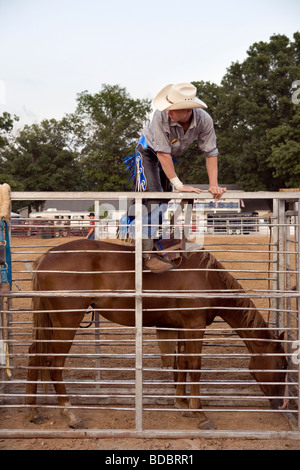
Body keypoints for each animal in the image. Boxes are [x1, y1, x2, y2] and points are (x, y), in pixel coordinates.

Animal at [24, 241, 288, 428]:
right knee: (54, 362)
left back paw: (34, 410)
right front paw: (200, 414)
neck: (207, 278)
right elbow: (195, 365)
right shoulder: (195, 326)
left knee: (34, 354)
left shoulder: (182, 327)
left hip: (51, 321)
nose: (283, 404)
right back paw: (71, 414)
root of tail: (47, 256)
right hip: (66, 321)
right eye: (283, 365)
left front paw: (181, 403)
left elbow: (182, 364)